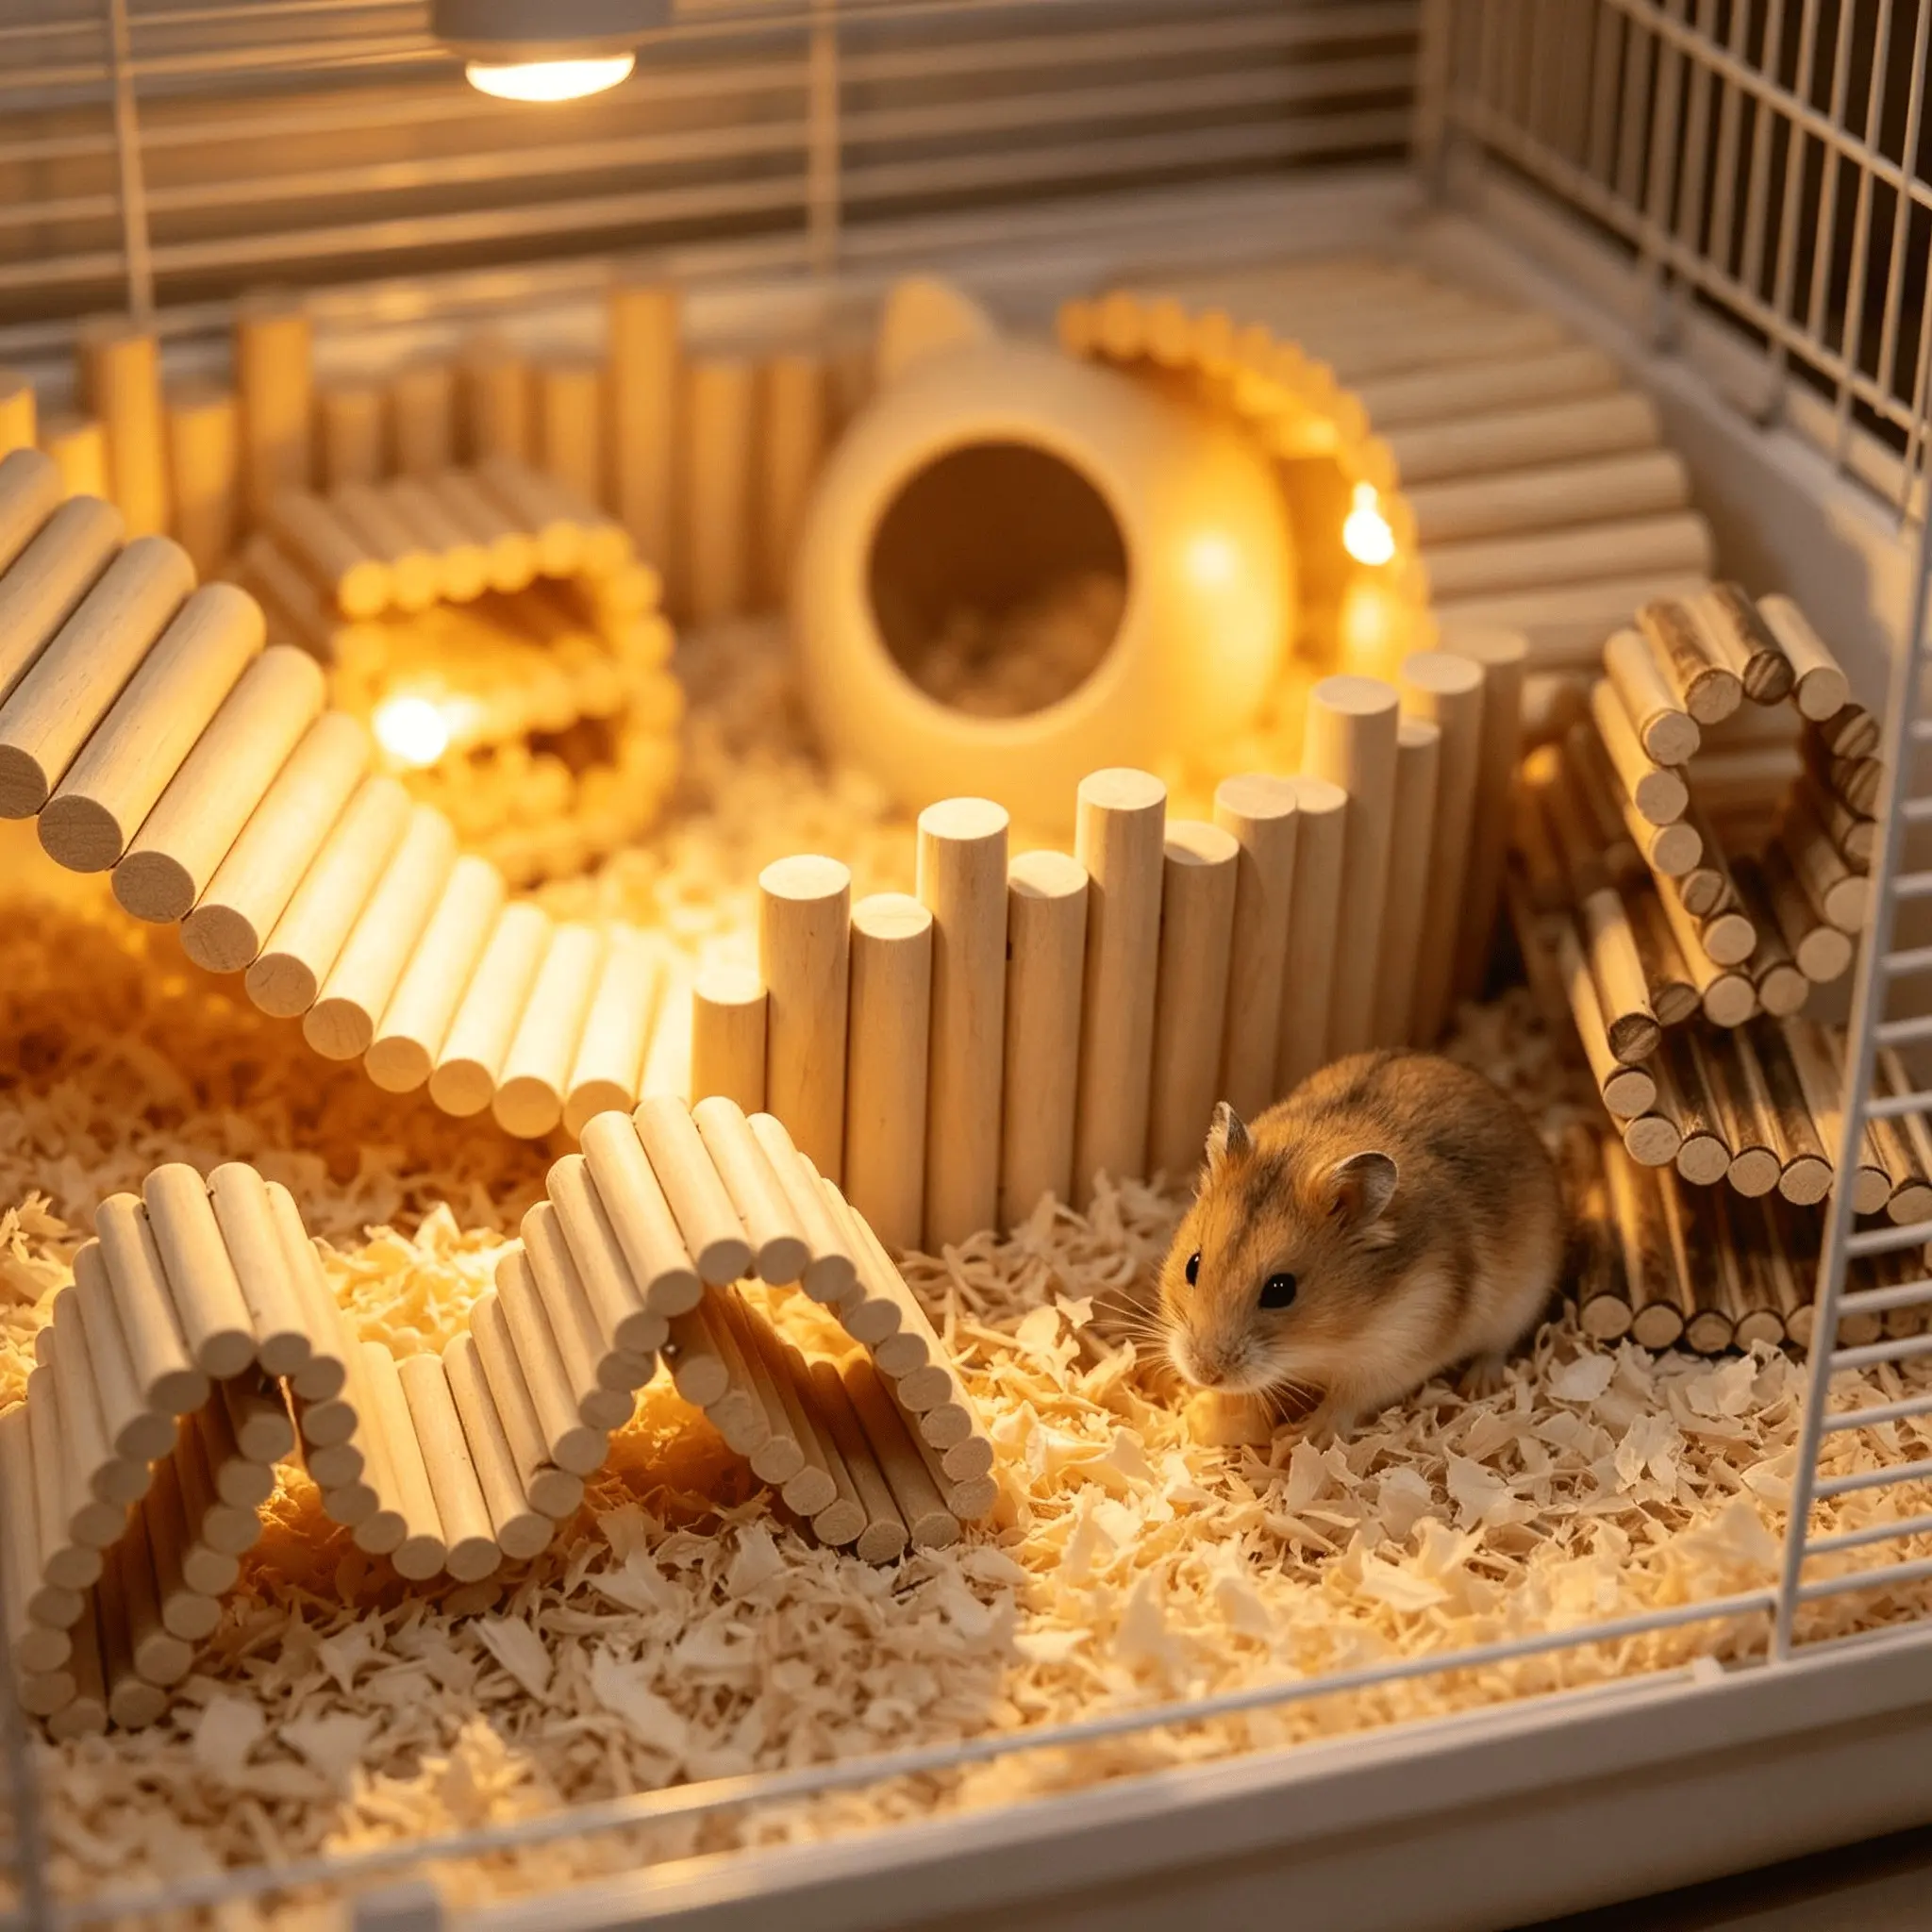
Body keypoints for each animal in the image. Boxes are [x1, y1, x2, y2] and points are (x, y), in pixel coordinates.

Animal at [1158, 1050, 1563, 1438]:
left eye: (1280, 1290)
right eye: (1192, 1266)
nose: (1205, 1372)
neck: (1326, 1344)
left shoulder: (1399, 1348)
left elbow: (1348, 1399)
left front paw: (1303, 1439)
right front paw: (1204, 1408)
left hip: (1521, 1299)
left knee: (1496, 1348)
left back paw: (1478, 1386)